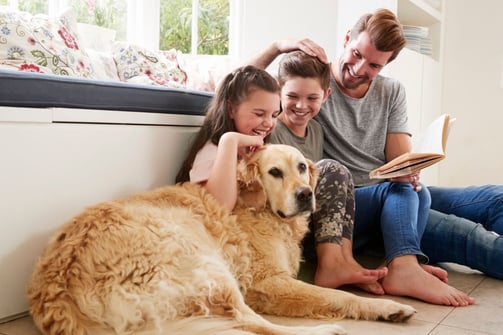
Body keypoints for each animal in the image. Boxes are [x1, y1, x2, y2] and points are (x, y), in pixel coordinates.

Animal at [26, 145, 414, 335]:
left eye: (302, 167)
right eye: (275, 172)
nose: (306, 194)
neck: (261, 209)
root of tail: (59, 294)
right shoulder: (267, 282)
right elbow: (338, 295)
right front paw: (385, 306)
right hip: (205, 262)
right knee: (254, 325)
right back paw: (326, 331)